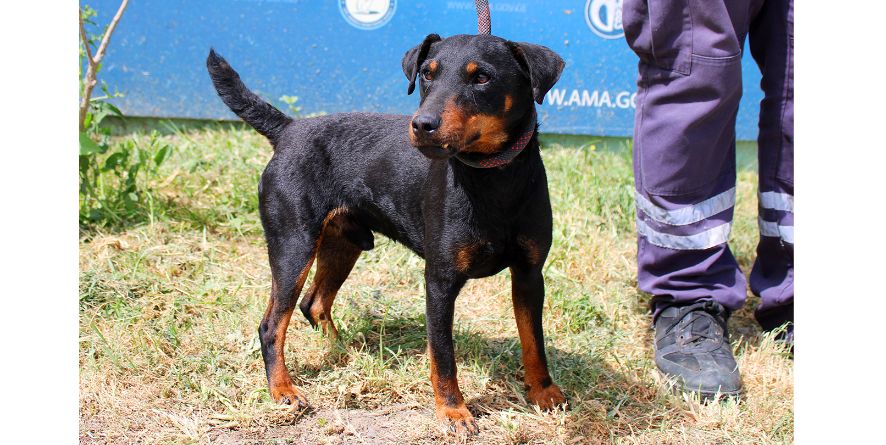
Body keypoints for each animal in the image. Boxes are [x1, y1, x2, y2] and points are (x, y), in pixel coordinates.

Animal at [207, 33, 564, 434]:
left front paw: (543, 391)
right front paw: (453, 411)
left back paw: (344, 350)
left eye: (482, 77)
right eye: (427, 74)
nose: (422, 124)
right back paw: (283, 390)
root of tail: (289, 129)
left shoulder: (530, 274)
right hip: (293, 246)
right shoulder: (440, 281)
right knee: (271, 325)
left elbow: (534, 341)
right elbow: (443, 355)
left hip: (342, 243)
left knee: (314, 303)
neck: (493, 178)